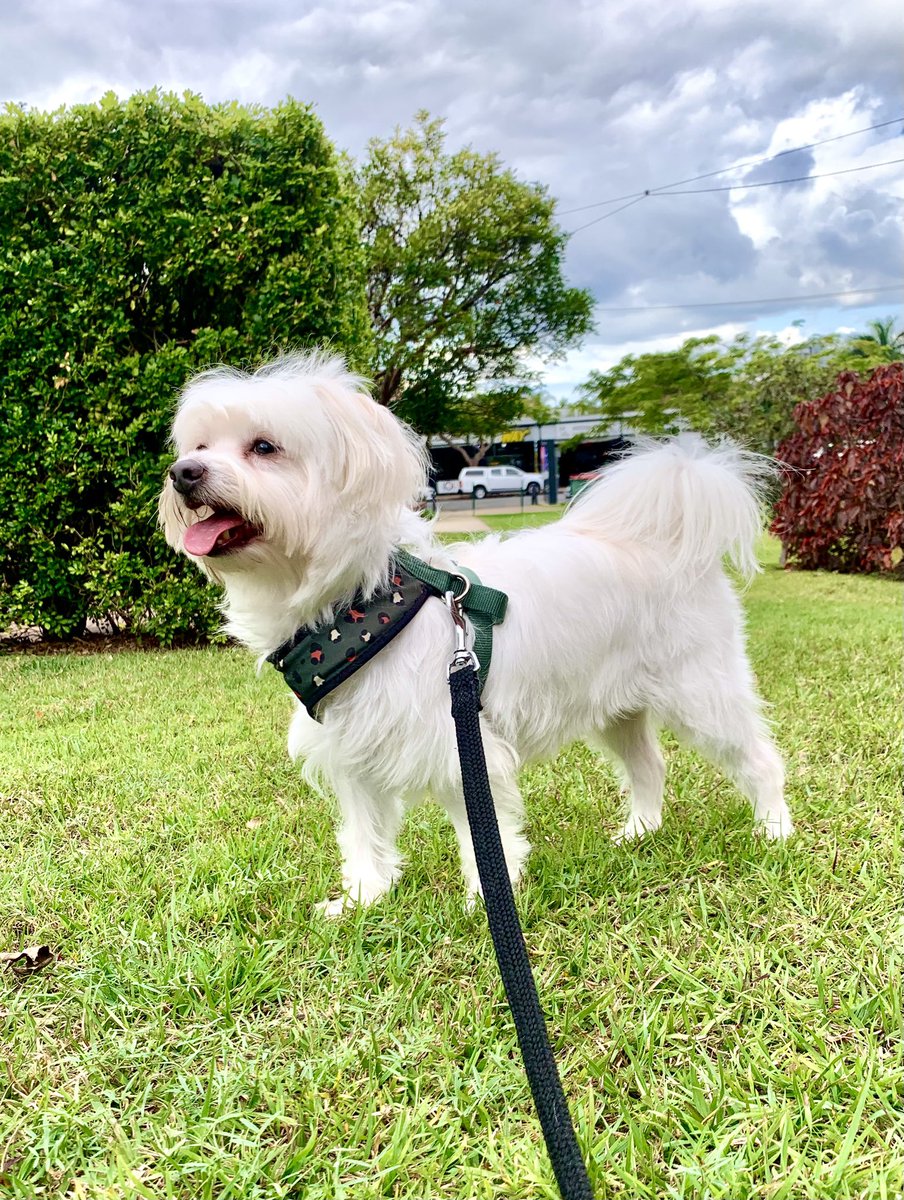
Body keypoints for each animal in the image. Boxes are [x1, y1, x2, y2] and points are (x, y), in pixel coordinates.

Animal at [158, 350, 792, 912]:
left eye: (264, 447)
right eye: (199, 447)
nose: (182, 473)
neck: (358, 609)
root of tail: (670, 536)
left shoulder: (460, 746)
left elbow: (483, 836)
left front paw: (487, 900)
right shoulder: (351, 749)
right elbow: (363, 832)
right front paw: (364, 899)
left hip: (701, 692)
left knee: (759, 759)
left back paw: (775, 831)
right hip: (617, 707)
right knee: (648, 766)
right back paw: (639, 832)